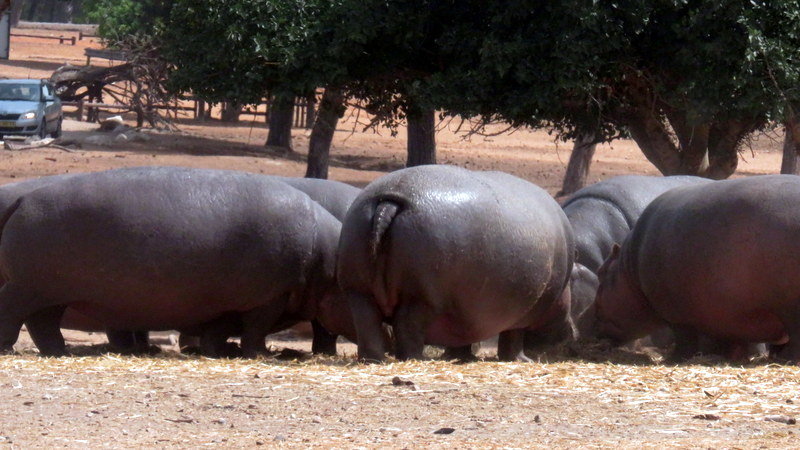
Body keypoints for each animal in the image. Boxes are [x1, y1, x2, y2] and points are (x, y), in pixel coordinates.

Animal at [0, 167, 348, 356]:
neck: (327, 263)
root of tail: (23, 200)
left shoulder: (224, 304)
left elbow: (219, 330)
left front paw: (220, 351)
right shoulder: (268, 298)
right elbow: (256, 330)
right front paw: (260, 354)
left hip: (48, 291)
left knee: (43, 323)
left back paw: (60, 351)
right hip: (27, 287)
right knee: (13, 311)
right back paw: (9, 347)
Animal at [334, 165, 572, 362]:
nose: (571, 332)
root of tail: (388, 201)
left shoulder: (463, 311)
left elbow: (461, 337)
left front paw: (461, 357)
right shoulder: (521, 314)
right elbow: (512, 338)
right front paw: (523, 360)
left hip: (358, 289)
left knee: (367, 324)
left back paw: (373, 359)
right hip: (420, 296)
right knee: (407, 326)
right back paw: (414, 359)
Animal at [592, 175, 800, 362]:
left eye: (601, 272)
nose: (590, 315)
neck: (628, 270)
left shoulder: (676, 314)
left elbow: (685, 340)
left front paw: (672, 359)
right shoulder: (732, 314)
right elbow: (735, 341)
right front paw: (733, 358)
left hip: (789, 308)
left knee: (794, 339)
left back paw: (786, 359)